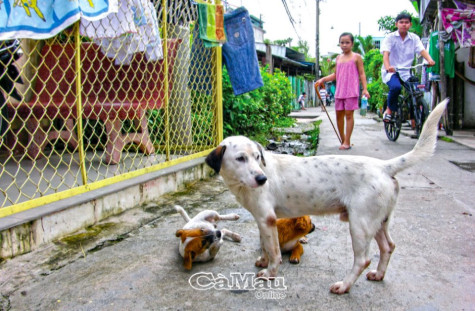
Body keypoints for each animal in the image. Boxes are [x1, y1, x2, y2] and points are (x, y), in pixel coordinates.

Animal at [205, 100, 450, 294]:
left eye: (257, 157)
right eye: (240, 158)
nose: (262, 179)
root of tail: (383, 166)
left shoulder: (267, 219)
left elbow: (274, 250)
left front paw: (270, 272)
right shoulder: (262, 220)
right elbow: (266, 245)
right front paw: (263, 261)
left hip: (360, 224)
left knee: (363, 259)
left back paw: (344, 286)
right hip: (379, 221)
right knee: (388, 247)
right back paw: (379, 274)